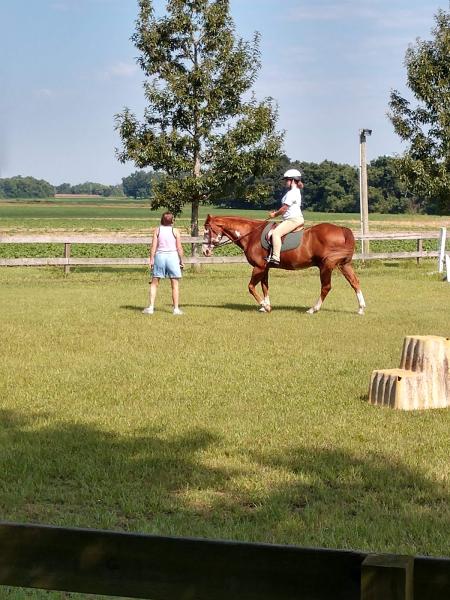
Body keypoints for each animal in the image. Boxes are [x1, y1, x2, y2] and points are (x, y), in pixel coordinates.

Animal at [203, 217, 366, 318]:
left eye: (207, 230)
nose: (205, 251)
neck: (251, 235)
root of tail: (341, 229)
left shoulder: (259, 267)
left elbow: (251, 287)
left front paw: (265, 306)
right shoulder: (265, 268)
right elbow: (265, 286)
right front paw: (265, 306)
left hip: (325, 267)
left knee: (326, 287)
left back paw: (313, 309)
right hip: (344, 265)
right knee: (355, 282)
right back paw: (361, 308)